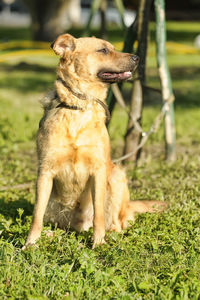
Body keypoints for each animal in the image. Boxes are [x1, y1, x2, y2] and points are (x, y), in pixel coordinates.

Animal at [24, 33, 166, 248]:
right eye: (103, 50)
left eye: (112, 48)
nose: (137, 58)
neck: (78, 107)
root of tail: (78, 225)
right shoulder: (45, 172)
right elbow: (36, 215)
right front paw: (30, 244)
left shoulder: (98, 170)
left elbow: (98, 213)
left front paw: (98, 243)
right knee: (58, 226)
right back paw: (51, 234)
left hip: (116, 176)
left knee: (116, 222)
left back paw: (112, 235)